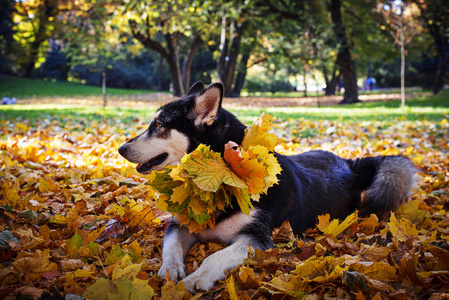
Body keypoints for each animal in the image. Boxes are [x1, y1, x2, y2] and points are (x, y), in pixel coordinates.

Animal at [116, 81, 416, 292]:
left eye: (158, 125)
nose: (120, 149)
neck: (218, 177)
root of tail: (350, 163)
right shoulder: (181, 224)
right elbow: (170, 246)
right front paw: (170, 269)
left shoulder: (256, 239)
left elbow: (215, 257)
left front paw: (197, 277)